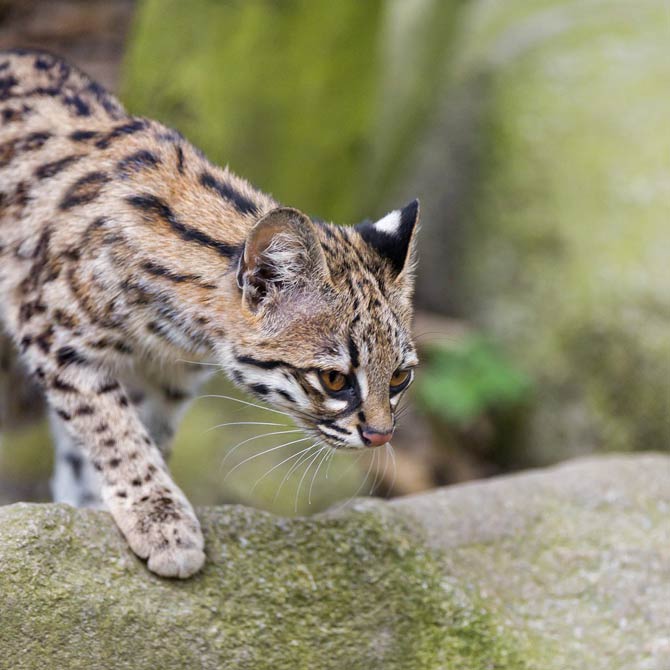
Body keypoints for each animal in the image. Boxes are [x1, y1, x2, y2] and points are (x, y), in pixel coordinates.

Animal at [0, 50, 420, 580]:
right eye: (334, 379)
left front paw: (106, 507)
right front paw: (159, 515)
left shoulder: (166, 378)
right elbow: (113, 429)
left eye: (401, 376)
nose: (381, 437)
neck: (177, 332)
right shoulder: (55, 336)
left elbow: (133, 438)